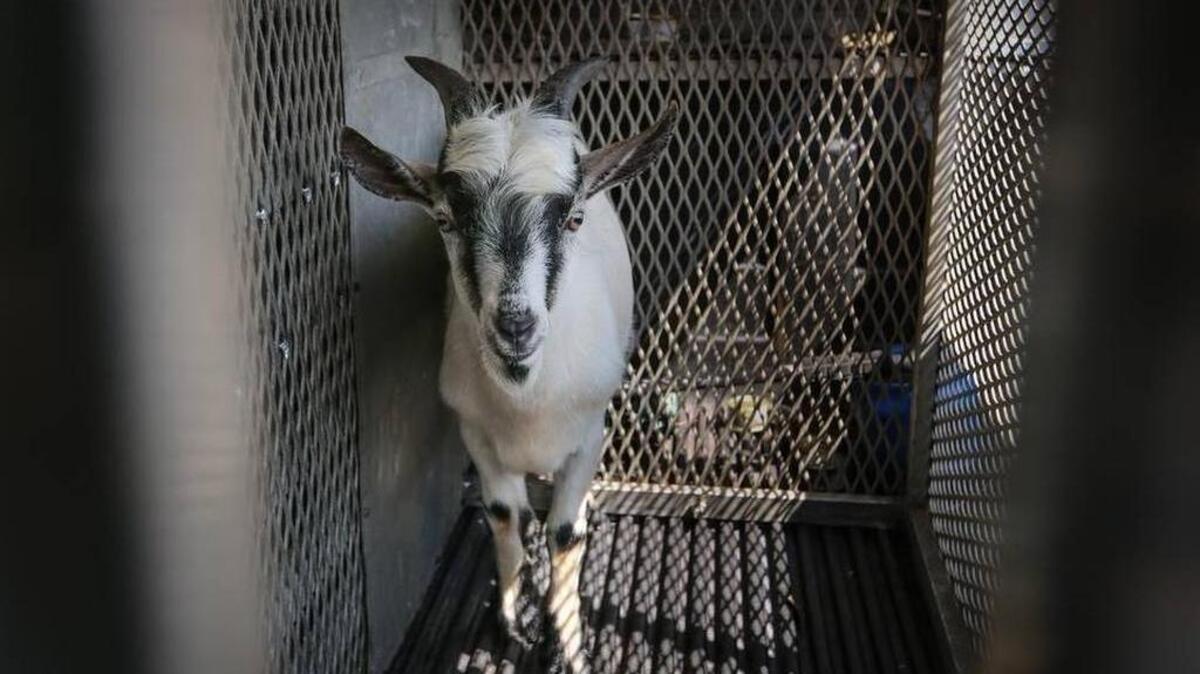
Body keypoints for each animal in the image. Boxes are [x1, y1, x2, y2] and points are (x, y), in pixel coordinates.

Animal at [339, 56, 676, 672]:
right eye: (445, 218)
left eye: (573, 218)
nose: (515, 326)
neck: (527, 404)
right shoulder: (477, 435)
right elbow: (503, 516)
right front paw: (509, 622)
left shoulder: (590, 435)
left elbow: (566, 533)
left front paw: (567, 645)